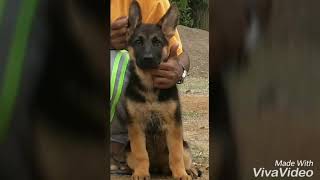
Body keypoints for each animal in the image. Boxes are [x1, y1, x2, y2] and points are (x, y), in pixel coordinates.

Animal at [124, 0, 195, 180]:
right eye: (138, 42)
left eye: (157, 42)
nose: (148, 58)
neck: (150, 86)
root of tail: (157, 167)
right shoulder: (136, 127)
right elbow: (141, 154)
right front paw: (141, 173)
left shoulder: (174, 126)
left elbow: (175, 154)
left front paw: (181, 174)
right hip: (128, 151)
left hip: (185, 147)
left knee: (182, 157)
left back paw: (189, 170)